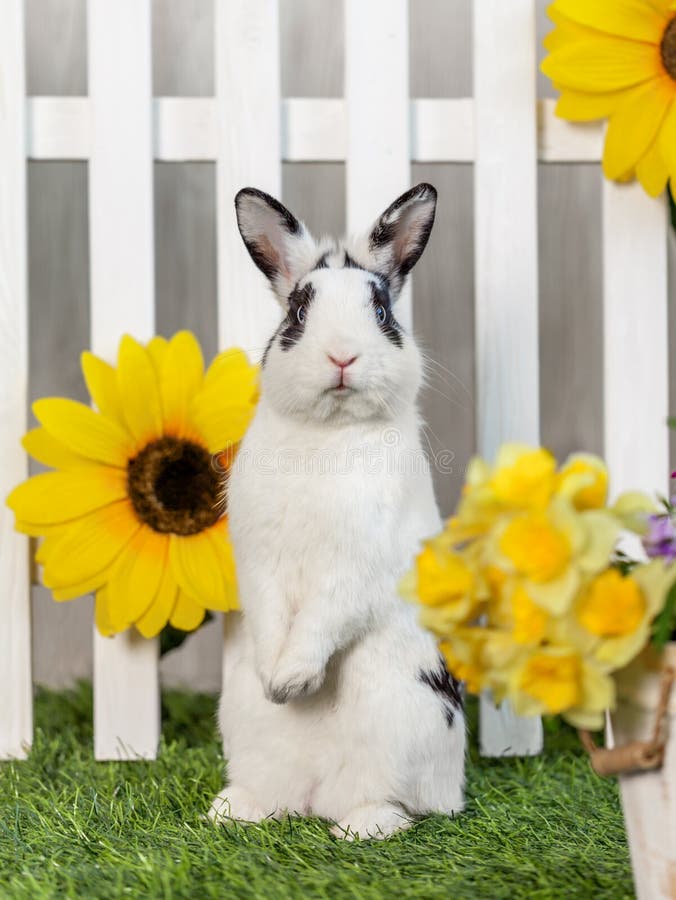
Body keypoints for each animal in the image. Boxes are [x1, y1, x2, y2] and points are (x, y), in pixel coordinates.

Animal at [210, 183, 464, 844]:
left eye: (382, 313)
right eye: (298, 313)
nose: (342, 356)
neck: (327, 432)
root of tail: (316, 795)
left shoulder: (357, 565)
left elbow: (324, 616)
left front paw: (294, 681)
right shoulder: (259, 560)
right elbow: (273, 613)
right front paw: (276, 683)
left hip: (404, 723)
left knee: (393, 803)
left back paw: (361, 828)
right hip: (245, 733)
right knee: (272, 794)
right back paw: (232, 811)